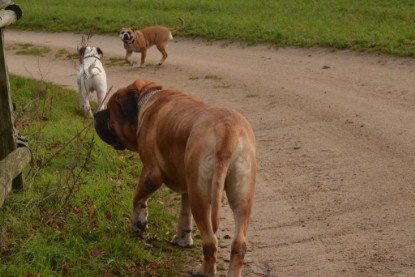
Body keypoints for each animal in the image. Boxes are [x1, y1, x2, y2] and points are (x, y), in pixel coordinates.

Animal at [94, 80, 256, 276]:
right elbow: (184, 213)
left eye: (109, 112)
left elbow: (137, 197)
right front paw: (183, 239)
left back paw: (204, 271)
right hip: (240, 194)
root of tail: (227, 131)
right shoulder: (187, 185)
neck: (146, 98)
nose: (96, 114)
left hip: (201, 196)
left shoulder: (151, 173)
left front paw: (138, 224)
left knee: (210, 242)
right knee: (239, 243)